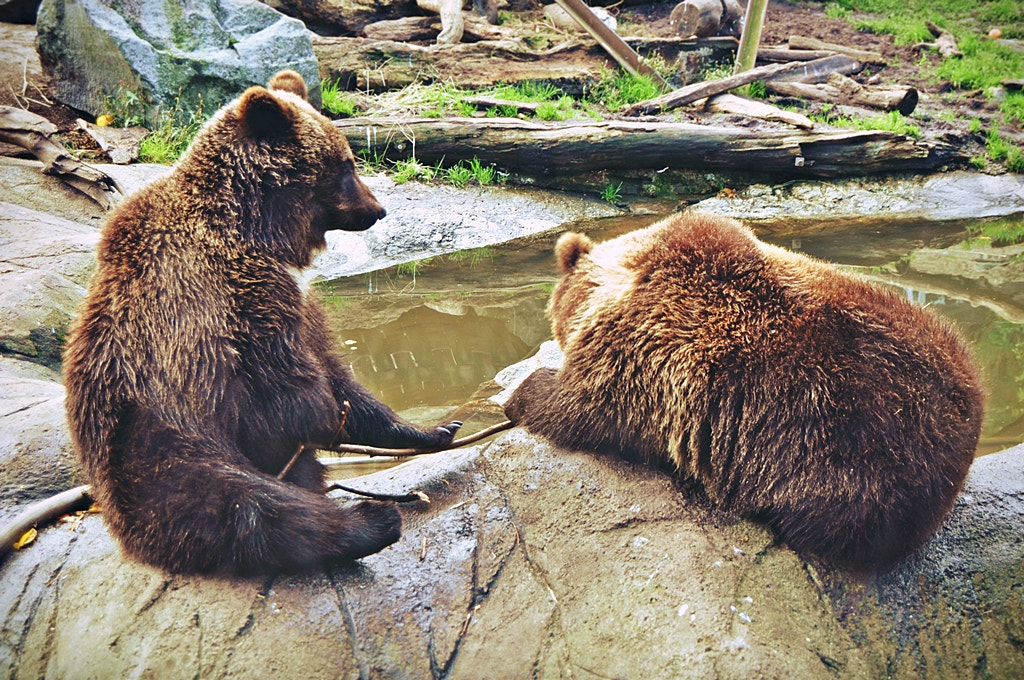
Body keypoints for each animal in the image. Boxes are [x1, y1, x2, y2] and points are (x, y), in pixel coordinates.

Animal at [62, 71, 461, 574]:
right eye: (347, 165)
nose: (378, 209)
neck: (256, 224)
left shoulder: (296, 303)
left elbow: (339, 378)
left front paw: (433, 428)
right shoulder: (240, 298)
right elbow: (296, 388)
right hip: (163, 444)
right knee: (250, 508)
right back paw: (370, 521)